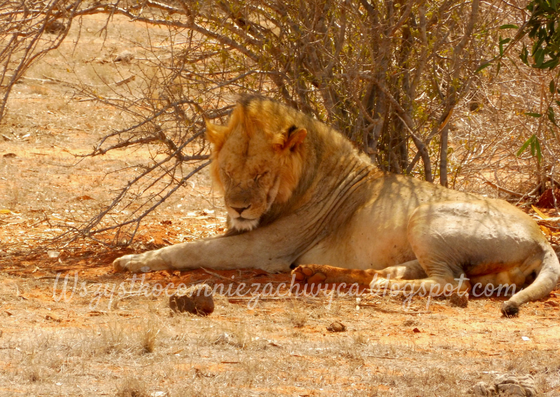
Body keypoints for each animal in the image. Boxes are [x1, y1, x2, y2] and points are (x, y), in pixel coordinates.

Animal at [114, 95, 560, 316]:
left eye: (260, 174)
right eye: (227, 170)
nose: (239, 208)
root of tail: (542, 238)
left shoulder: (265, 249)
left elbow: (190, 248)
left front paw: (131, 261)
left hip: (425, 215)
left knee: (452, 284)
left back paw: (383, 284)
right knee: (423, 273)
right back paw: (332, 272)